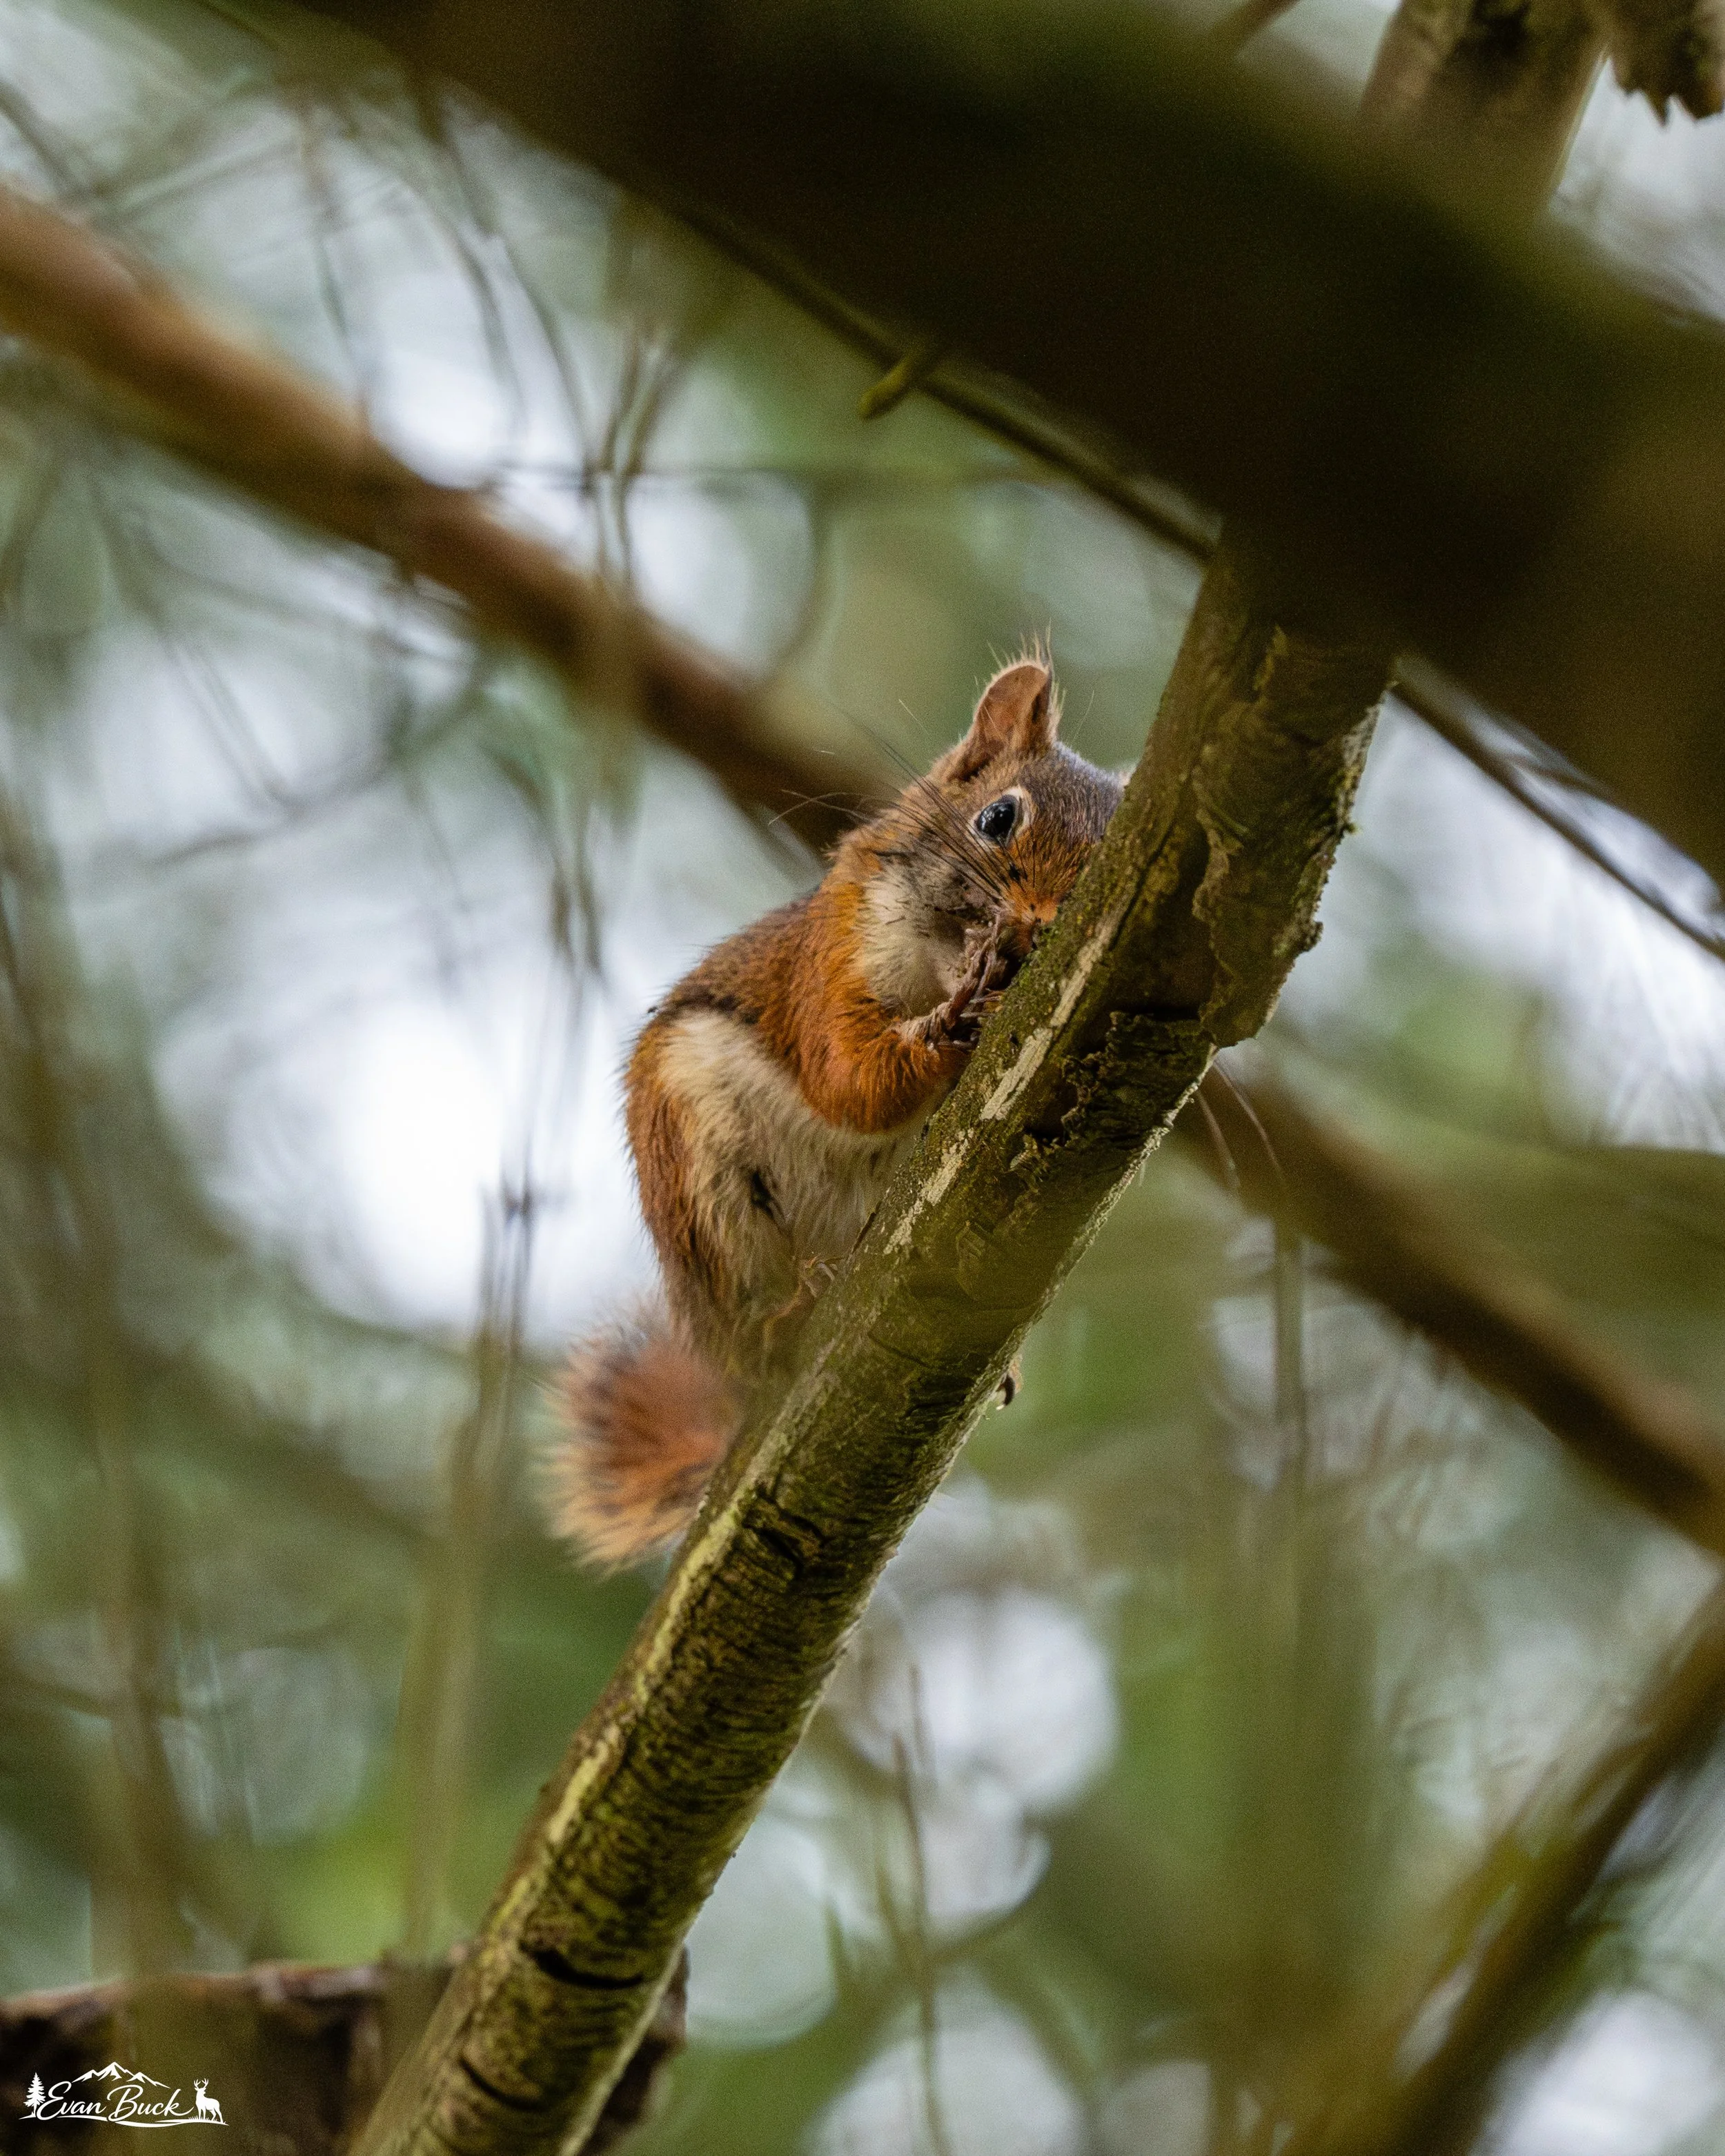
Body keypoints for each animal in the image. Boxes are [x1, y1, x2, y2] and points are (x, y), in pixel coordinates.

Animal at [545, 656, 1123, 1569]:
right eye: (998, 817)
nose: (1035, 928)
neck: (935, 957)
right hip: (703, 1185)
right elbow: (846, 1077)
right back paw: (788, 1315)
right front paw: (953, 1022)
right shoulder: (831, 958)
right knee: (753, 1338)